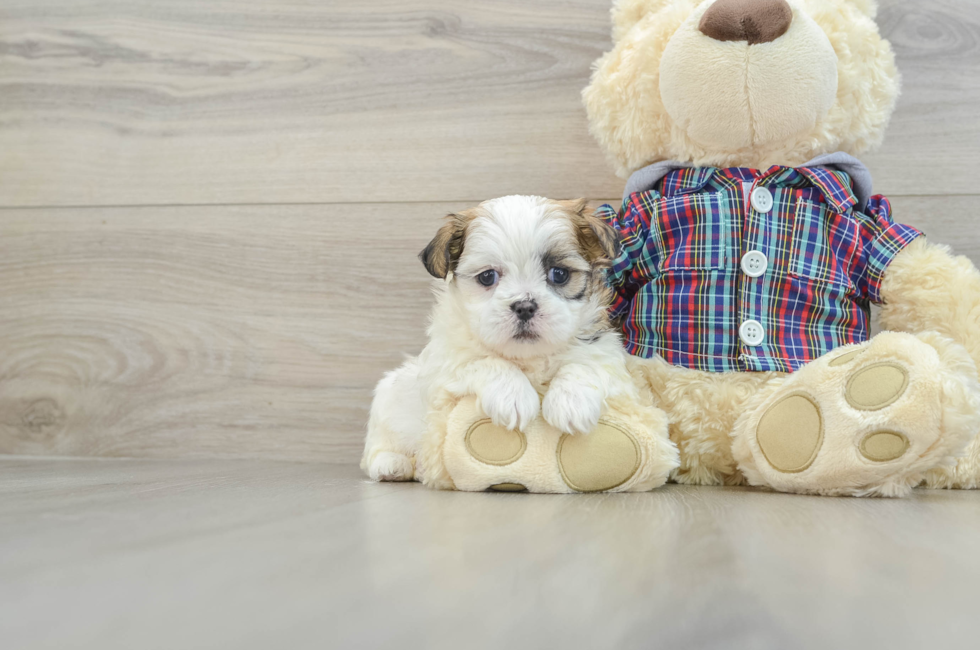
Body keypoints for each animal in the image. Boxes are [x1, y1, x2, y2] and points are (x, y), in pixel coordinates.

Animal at [360, 195, 636, 484]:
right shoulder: (445, 364)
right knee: (376, 449)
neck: (527, 358)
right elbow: (484, 360)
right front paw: (513, 396)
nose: (525, 306)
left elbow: (585, 362)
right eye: (487, 276)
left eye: (559, 274)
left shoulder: (606, 351)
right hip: (388, 400)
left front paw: (571, 402)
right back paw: (393, 465)